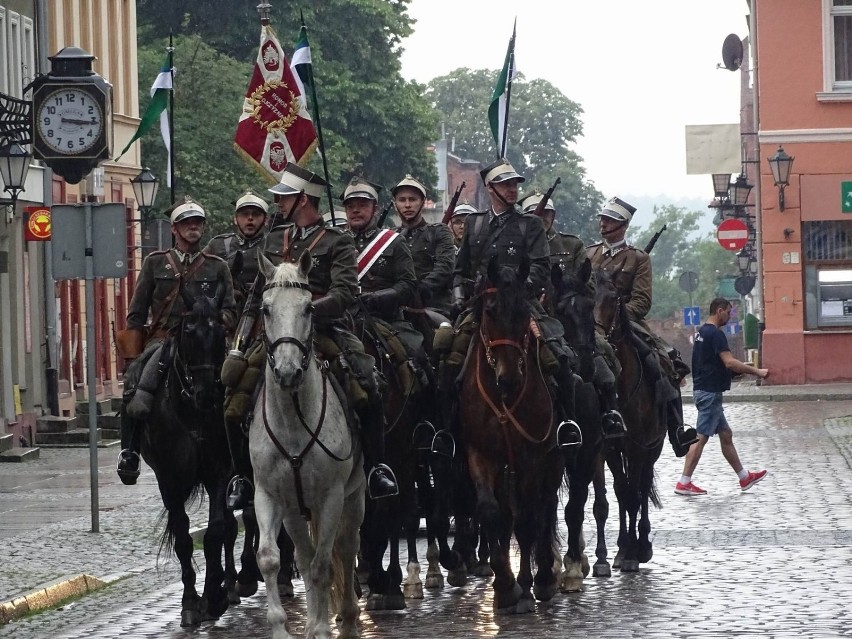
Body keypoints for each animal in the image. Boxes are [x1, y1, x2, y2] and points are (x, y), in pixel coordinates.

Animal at [138, 284, 236, 624]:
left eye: (221, 333)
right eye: (188, 332)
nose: (206, 393)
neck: (193, 413)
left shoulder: (220, 472)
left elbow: (215, 532)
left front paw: (214, 595)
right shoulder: (168, 480)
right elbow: (182, 536)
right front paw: (192, 601)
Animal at [250, 252, 362, 636]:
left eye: (309, 308)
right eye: (266, 308)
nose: (287, 373)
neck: (293, 420)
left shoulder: (331, 497)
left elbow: (323, 565)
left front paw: (323, 628)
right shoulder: (270, 495)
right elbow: (270, 559)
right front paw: (281, 627)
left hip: (353, 496)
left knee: (344, 549)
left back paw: (347, 617)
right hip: (297, 512)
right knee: (304, 553)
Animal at [460, 260, 564, 616]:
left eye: (523, 312)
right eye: (490, 312)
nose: (509, 378)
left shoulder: (533, 458)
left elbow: (529, 520)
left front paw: (525, 587)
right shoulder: (480, 454)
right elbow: (492, 513)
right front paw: (504, 586)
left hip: (552, 462)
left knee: (544, 510)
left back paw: (543, 577)